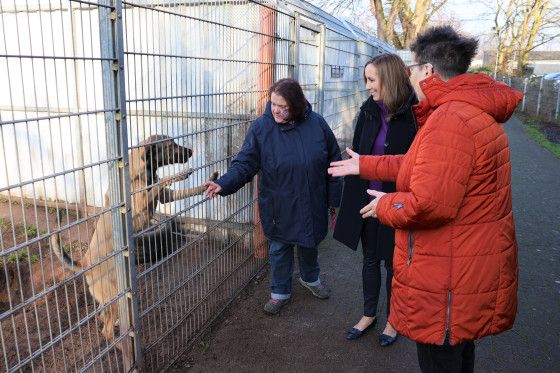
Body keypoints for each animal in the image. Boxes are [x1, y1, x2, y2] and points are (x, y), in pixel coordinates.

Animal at [49, 135, 219, 350]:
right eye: (170, 146)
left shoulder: (165, 197)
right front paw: (182, 174)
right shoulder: (142, 206)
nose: (190, 152)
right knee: (105, 331)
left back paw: (118, 325)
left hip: (110, 297)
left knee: (102, 317)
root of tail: (85, 263)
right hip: (113, 295)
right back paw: (121, 345)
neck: (143, 170)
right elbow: (162, 180)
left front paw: (210, 180)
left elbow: (185, 189)